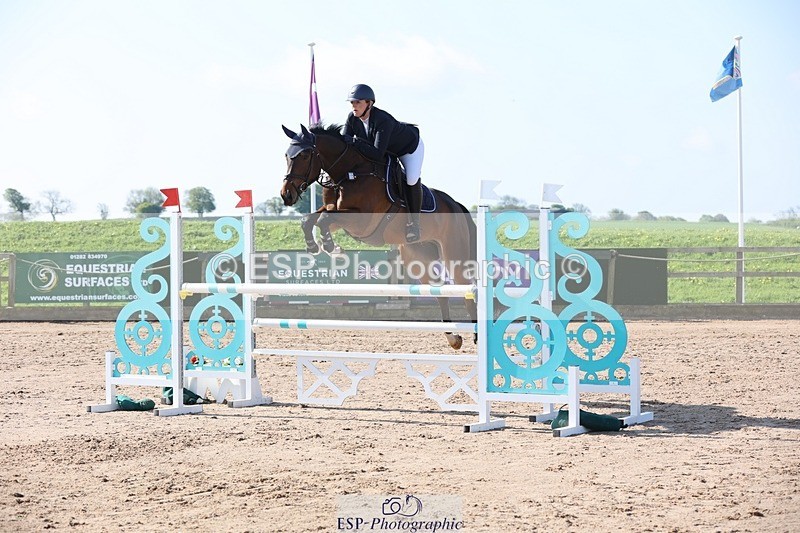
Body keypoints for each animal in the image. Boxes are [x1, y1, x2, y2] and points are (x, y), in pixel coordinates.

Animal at [280, 124, 477, 350]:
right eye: (287, 155)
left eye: (304, 156)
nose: (286, 195)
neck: (350, 173)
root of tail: (456, 205)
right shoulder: (336, 213)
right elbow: (311, 219)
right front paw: (317, 247)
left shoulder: (361, 222)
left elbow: (323, 220)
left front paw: (331, 248)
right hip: (419, 258)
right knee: (440, 293)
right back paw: (453, 338)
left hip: (454, 254)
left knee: (466, 291)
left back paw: (476, 335)